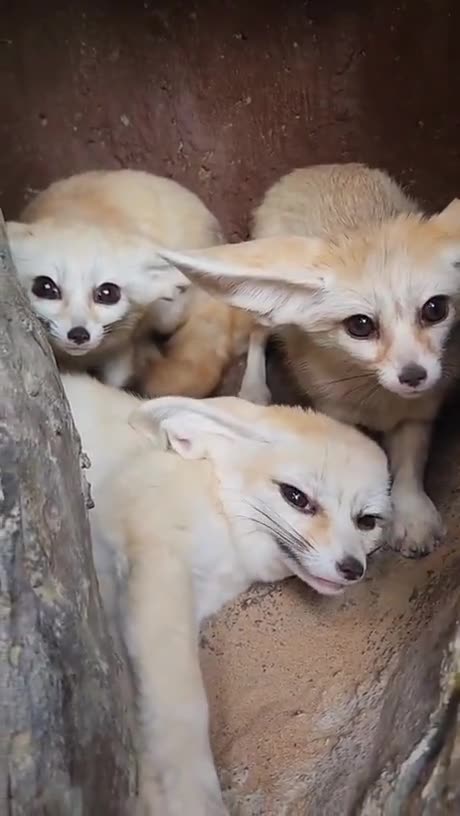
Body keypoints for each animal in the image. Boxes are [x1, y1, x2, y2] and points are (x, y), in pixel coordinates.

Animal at [6, 168, 223, 388]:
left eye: (108, 293)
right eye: (46, 287)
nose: (79, 334)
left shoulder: (120, 352)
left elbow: (116, 381)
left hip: (168, 314)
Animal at [62, 371, 390, 816]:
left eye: (367, 521)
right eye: (296, 497)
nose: (352, 568)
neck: (216, 502)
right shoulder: (161, 567)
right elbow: (182, 705)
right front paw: (188, 797)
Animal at [151, 163, 460, 559]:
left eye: (435, 309)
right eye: (361, 326)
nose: (413, 375)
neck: (376, 398)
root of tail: (314, 168)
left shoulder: (418, 412)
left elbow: (410, 465)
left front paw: (411, 515)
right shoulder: (334, 411)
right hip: (267, 312)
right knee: (257, 336)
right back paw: (254, 389)